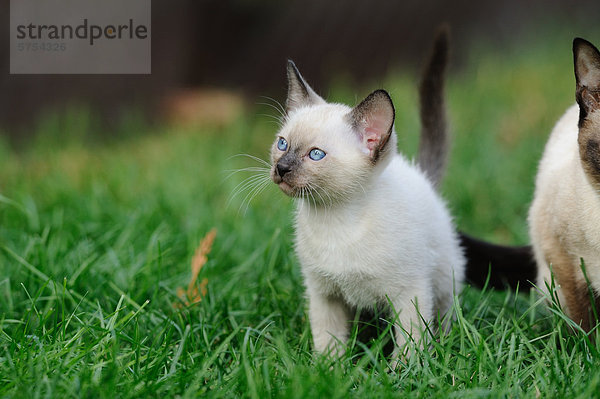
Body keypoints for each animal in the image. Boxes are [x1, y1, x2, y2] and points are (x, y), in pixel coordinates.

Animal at [270, 30, 466, 362]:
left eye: (316, 155)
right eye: (282, 144)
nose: (281, 168)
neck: (335, 220)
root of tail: (420, 175)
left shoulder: (409, 294)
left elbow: (410, 345)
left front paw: (403, 372)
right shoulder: (324, 294)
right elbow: (328, 342)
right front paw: (329, 368)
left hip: (442, 279)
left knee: (444, 316)